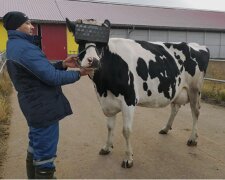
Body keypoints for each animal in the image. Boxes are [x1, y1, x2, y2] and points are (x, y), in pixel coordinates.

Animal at [66, 19, 210, 168]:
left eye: (102, 44)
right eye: (80, 42)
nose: (93, 60)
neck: (102, 87)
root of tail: (198, 45)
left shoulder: (129, 100)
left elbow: (126, 130)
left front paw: (128, 158)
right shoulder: (107, 102)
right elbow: (110, 127)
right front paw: (107, 147)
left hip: (195, 89)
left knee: (195, 112)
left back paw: (193, 139)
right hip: (177, 89)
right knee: (175, 108)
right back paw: (165, 128)